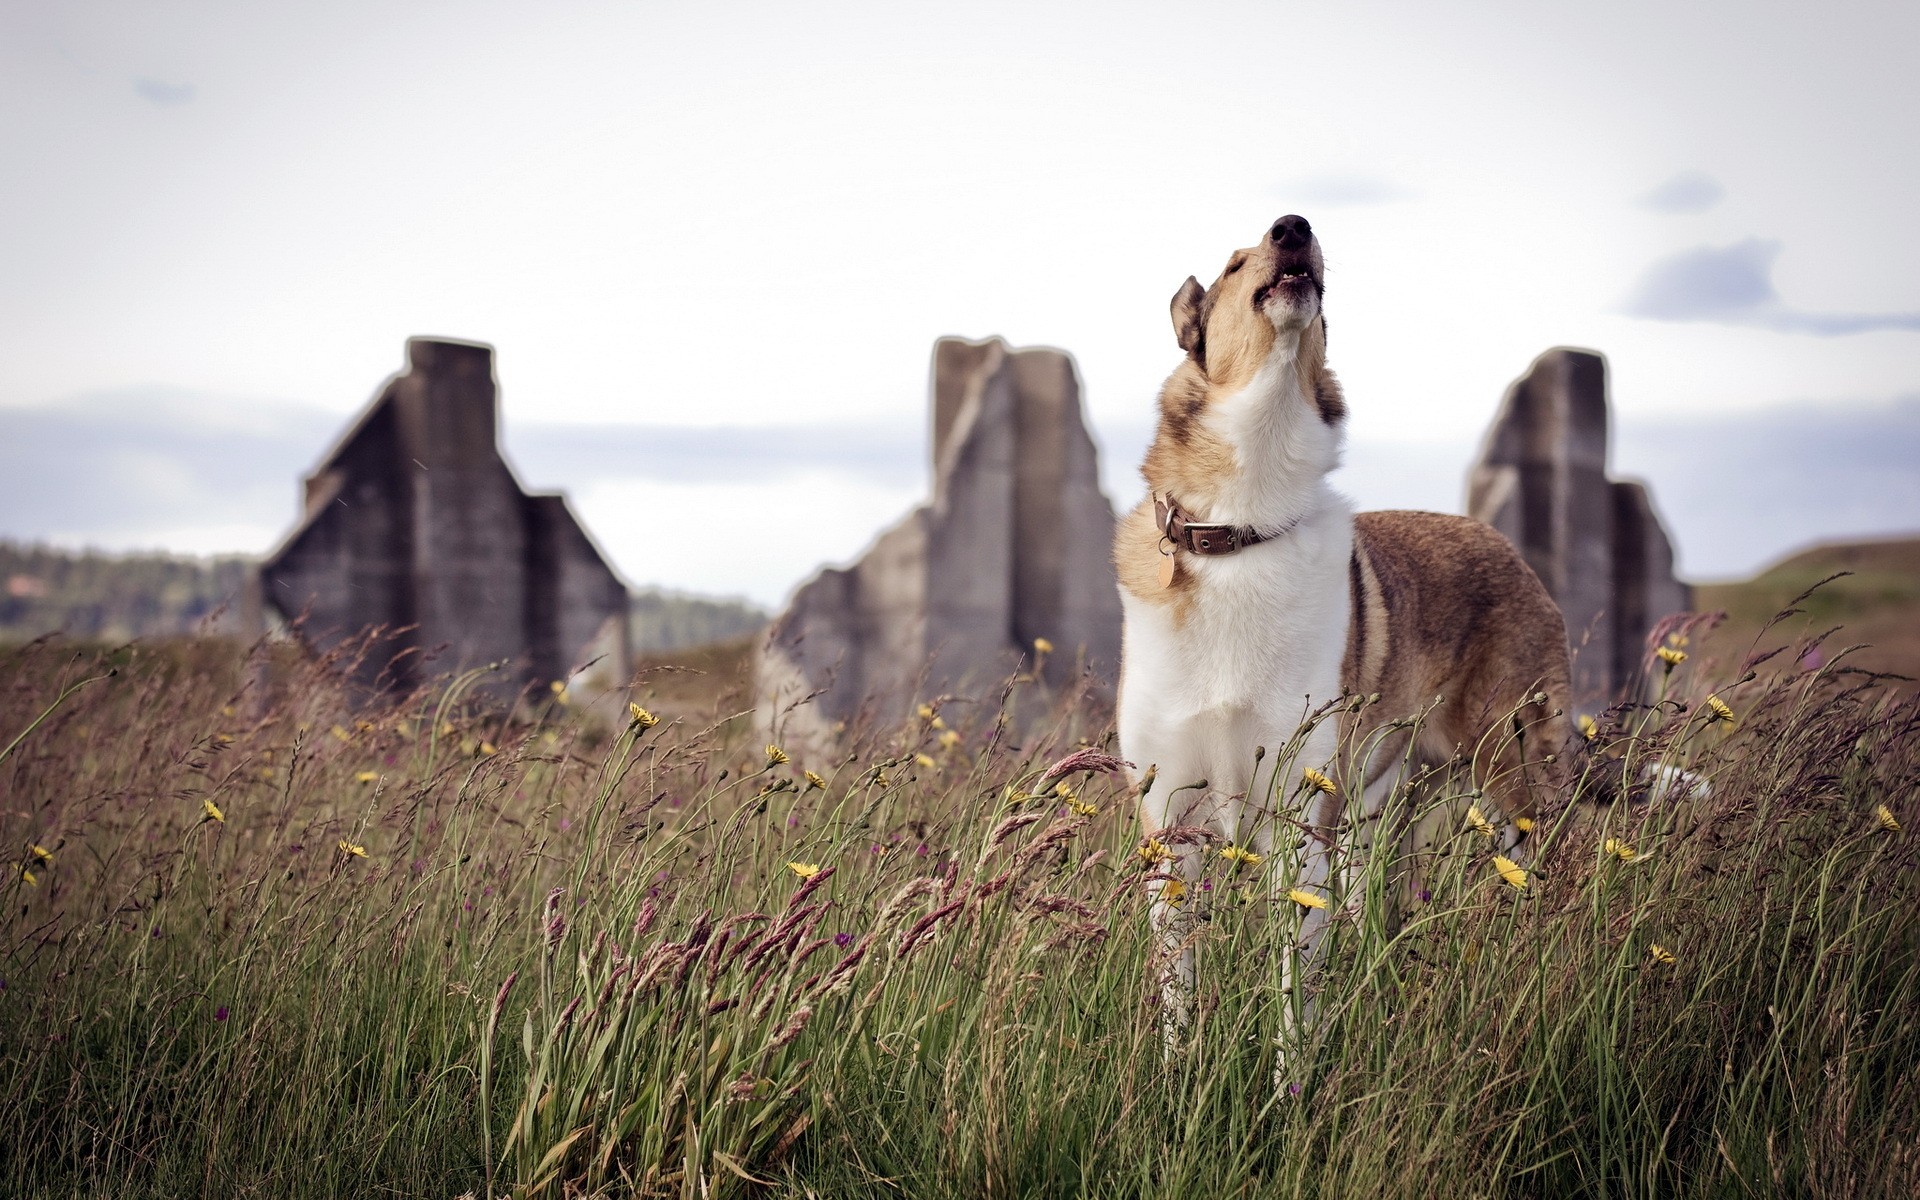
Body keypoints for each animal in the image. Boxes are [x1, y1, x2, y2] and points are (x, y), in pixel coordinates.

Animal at [1113, 213, 1574, 1059]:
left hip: (1511, 780)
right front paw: (1176, 1078)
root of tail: (1506, 545)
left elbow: (1295, 1003)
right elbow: (1179, 1000)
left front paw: (1293, 1084)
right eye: (1234, 264)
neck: (1242, 526)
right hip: (1375, 815)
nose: (1294, 227)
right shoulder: (1172, 823)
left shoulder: (1299, 825)